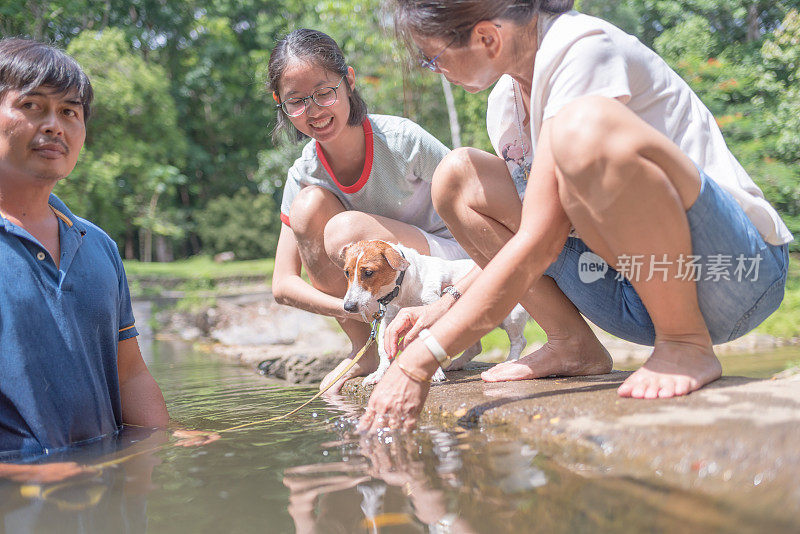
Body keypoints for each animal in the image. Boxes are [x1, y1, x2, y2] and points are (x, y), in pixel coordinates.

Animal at [340, 241, 528, 388]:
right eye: (347, 272)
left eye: (368, 272)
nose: (348, 307)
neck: (405, 285)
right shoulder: (388, 317)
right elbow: (383, 349)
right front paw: (379, 373)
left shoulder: (430, 310)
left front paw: (435, 372)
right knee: (476, 347)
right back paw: (456, 363)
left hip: (511, 317)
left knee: (519, 341)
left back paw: (509, 362)